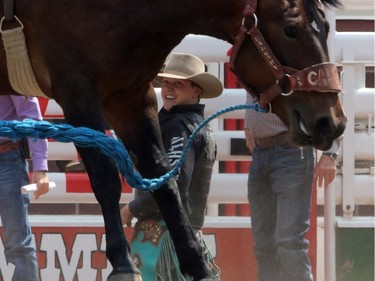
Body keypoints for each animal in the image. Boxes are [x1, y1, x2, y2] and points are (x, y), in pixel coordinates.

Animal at [0, 0, 346, 280]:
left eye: (327, 27)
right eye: (291, 29)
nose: (332, 122)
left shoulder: (130, 99)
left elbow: (164, 182)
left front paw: (198, 266)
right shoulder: (77, 93)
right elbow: (105, 178)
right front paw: (124, 264)